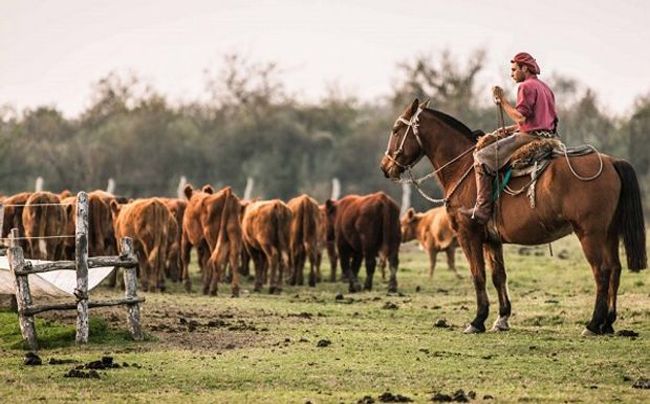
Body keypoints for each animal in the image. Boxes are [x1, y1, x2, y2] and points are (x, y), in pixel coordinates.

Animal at [378, 98, 644, 334]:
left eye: (396, 129)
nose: (385, 167)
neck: (464, 168)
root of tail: (611, 162)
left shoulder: (468, 235)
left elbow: (478, 276)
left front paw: (478, 320)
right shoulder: (492, 240)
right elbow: (498, 276)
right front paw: (502, 318)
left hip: (590, 234)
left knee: (602, 272)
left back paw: (593, 324)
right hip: (609, 233)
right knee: (615, 269)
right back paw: (608, 323)